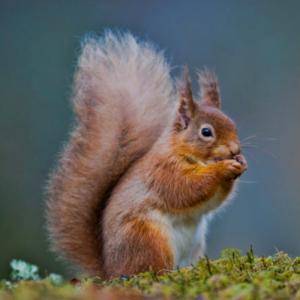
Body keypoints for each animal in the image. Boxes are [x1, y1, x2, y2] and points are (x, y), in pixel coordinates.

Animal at [47, 30, 247, 278]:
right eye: (206, 132)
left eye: (233, 124)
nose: (235, 149)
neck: (189, 155)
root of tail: (111, 270)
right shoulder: (163, 170)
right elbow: (186, 188)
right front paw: (223, 169)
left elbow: (212, 201)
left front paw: (240, 163)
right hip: (147, 236)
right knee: (150, 269)